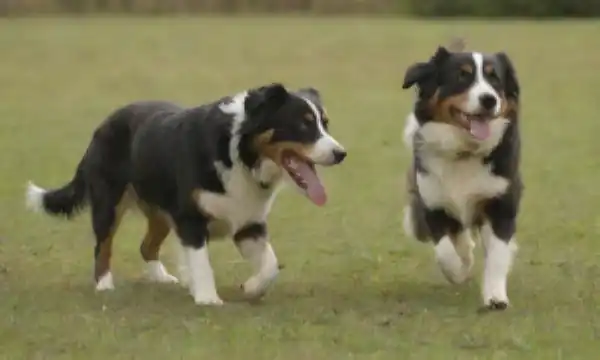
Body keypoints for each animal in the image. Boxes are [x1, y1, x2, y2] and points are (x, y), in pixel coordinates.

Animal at [24, 84, 346, 306]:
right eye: (303, 123)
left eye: (325, 123)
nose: (340, 153)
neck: (240, 155)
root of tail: (105, 122)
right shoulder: (191, 219)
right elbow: (202, 262)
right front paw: (207, 298)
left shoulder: (248, 224)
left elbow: (270, 266)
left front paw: (251, 287)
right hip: (109, 202)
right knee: (103, 246)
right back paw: (104, 284)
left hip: (161, 211)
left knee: (147, 246)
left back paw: (163, 277)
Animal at [400, 45, 524, 310]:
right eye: (462, 76)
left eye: (494, 78)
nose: (489, 100)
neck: (464, 151)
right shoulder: (433, 204)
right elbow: (445, 252)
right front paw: (459, 271)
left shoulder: (500, 205)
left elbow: (497, 256)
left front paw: (496, 297)